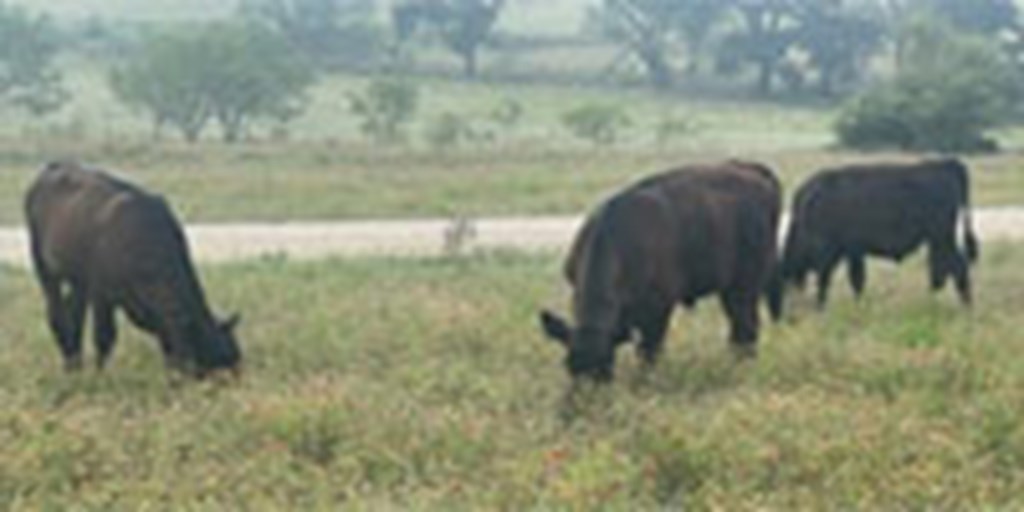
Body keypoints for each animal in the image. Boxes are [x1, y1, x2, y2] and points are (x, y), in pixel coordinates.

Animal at [24, 160, 241, 376]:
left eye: (233, 359)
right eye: (212, 360)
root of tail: (56, 166)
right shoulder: (101, 294)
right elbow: (104, 337)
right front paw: (100, 375)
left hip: (78, 280)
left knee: (74, 314)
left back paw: (75, 363)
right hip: (43, 265)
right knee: (57, 314)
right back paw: (71, 364)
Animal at [540, 161, 778, 382]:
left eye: (605, 367)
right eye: (568, 365)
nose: (583, 397)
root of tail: (748, 168)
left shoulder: (658, 309)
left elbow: (649, 351)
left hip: (744, 287)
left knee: (746, 326)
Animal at [782, 156, 974, 307]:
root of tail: (945, 164)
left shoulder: (828, 252)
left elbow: (826, 280)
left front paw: (820, 307)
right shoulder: (854, 252)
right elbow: (856, 280)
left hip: (943, 237)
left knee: (957, 266)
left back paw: (964, 306)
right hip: (938, 240)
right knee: (945, 269)